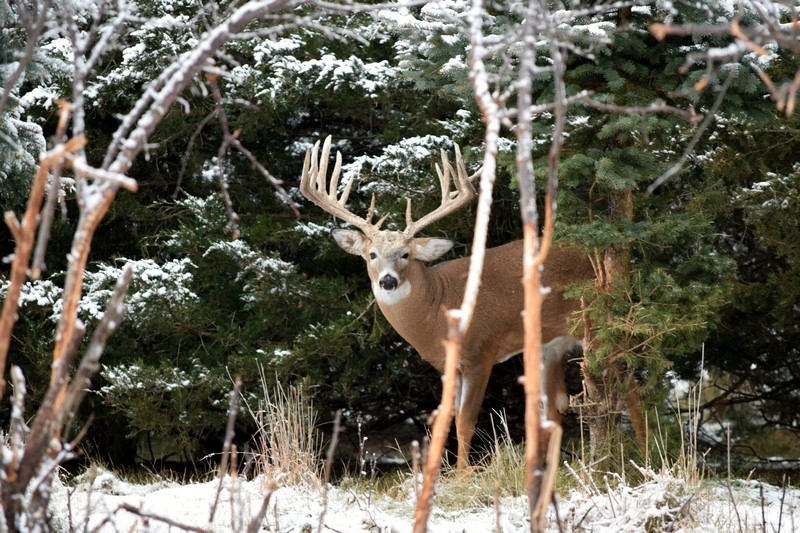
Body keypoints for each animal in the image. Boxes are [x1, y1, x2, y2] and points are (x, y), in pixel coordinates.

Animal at [300, 136, 592, 466]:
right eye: (371, 254)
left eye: (406, 255)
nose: (387, 280)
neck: (438, 310)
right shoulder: (447, 364)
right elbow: (447, 417)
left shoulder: (480, 353)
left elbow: (466, 422)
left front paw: (464, 472)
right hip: (550, 344)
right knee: (556, 405)